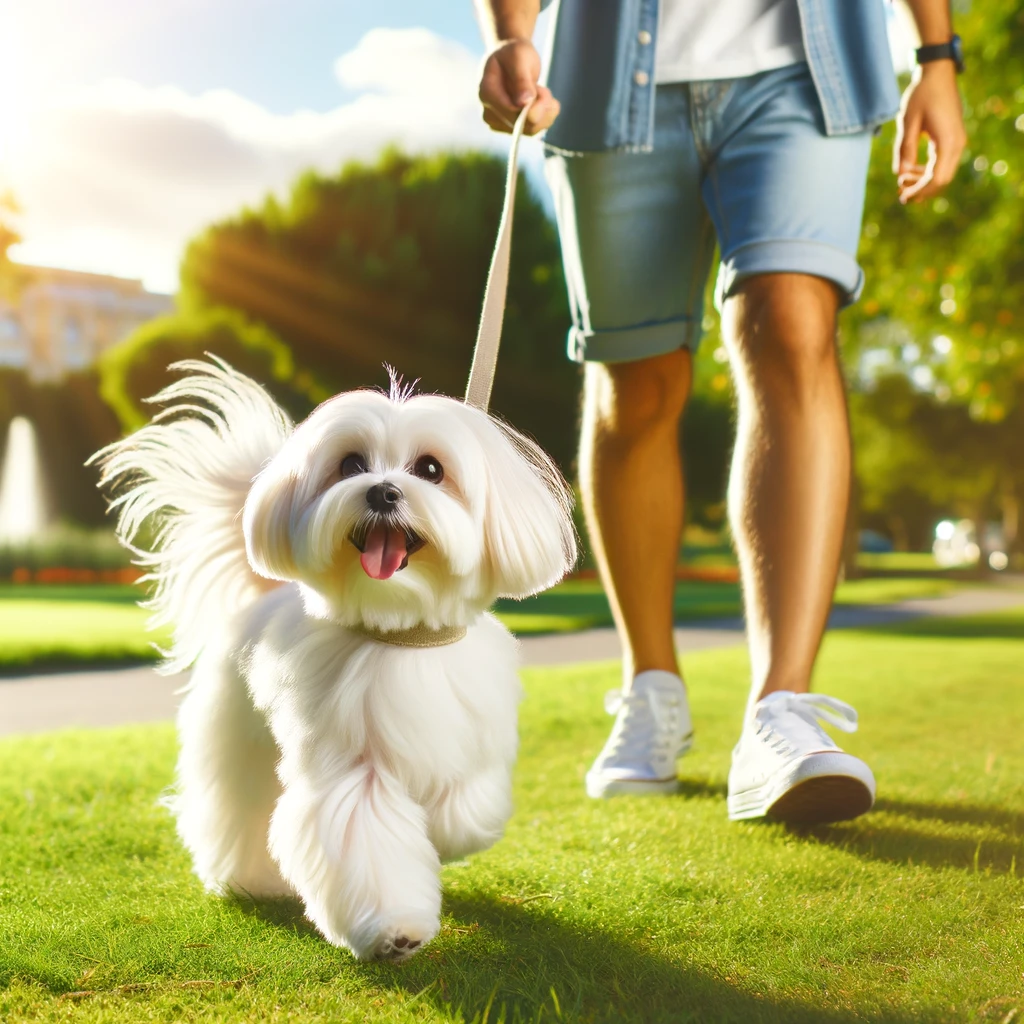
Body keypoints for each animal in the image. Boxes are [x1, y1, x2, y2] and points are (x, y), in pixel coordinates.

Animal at [93, 360, 577, 958]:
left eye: (431, 469)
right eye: (351, 465)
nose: (383, 491)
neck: (400, 632)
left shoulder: (472, 742)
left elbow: (468, 812)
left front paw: (444, 837)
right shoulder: (352, 768)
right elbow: (365, 839)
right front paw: (394, 930)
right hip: (240, 741)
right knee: (240, 808)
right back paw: (247, 878)